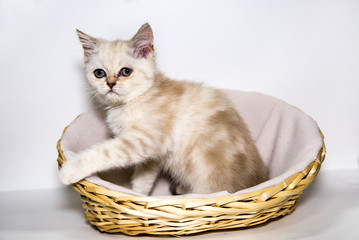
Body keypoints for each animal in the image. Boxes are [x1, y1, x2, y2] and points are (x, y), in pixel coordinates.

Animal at [59, 23, 268, 195]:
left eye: (126, 71)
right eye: (99, 73)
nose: (110, 84)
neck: (135, 100)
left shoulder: (144, 140)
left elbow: (105, 152)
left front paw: (70, 169)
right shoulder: (152, 155)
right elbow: (143, 177)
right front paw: (138, 195)